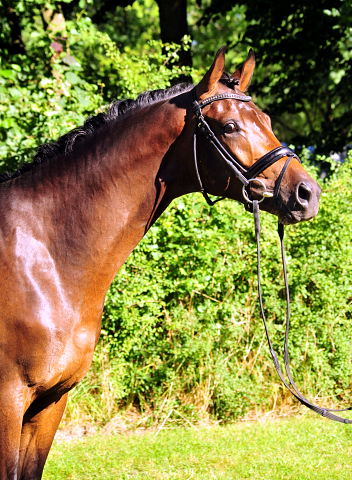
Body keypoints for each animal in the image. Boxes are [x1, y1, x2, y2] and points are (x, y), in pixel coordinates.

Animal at [0, 47, 320, 478]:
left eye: (268, 122)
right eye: (230, 126)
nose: (307, 193)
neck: (45, 255)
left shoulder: (50, 403)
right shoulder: (9, 401)